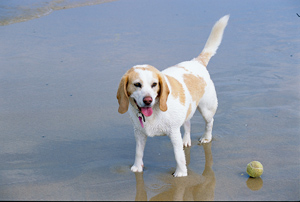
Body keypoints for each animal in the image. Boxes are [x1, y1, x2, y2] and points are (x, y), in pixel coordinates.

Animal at [117, 15, 230, 177]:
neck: (154, 112)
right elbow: (138, 152)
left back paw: (206, 138)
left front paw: (181, 173)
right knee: (187, 124)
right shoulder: (139, 133)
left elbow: (178, 155)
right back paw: (186, 140)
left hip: (207, 109)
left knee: (210, 122)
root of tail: (197, 61)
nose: (148, 100)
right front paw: (137, 167)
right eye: (137, 84)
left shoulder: (173, 132)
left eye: (154, 84)